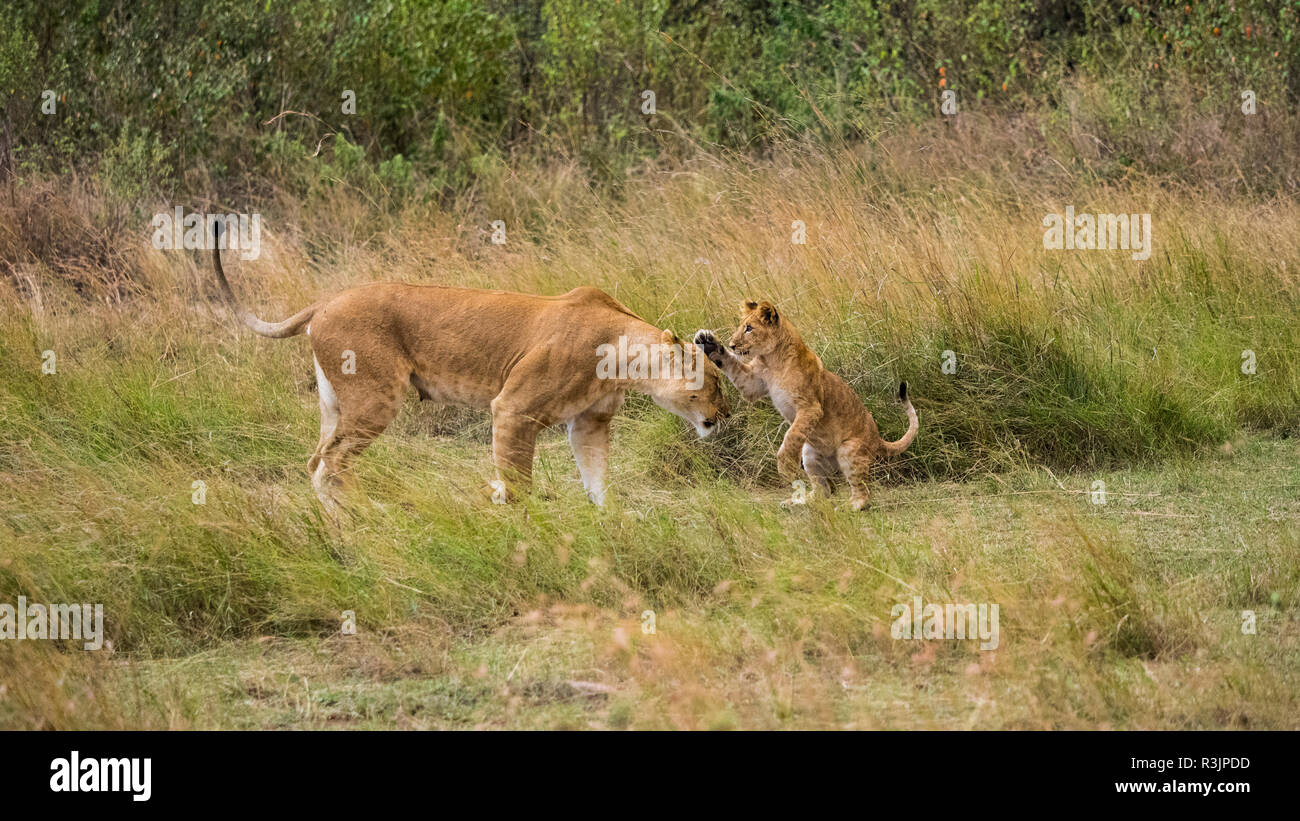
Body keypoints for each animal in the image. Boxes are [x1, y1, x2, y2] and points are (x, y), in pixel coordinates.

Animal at [208, 227, 730, 512]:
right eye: (715, 384)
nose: (724, 418)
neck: (623, 358)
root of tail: (326, 301)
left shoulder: (589, 422)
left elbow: (599, 482)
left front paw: (612, 525)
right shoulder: (513, 409)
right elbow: (517, 484)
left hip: (334, 404)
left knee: (317, 460)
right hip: (375, 398)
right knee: (327, 465)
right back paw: (362, 521)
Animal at [694, 300, 917, 510]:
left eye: (749, 328)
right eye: (742, 326)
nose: (732, 345)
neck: (771, 360)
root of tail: (878, 438)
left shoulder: (810, 407)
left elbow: (791, 436)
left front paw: (785, 467)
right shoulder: (753, 383)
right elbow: (733, 367)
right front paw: (708, 343)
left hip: (849, 450)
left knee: (863, 491)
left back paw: (851, 506)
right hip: (810, 454)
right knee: (825, 489)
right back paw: (799, 501)